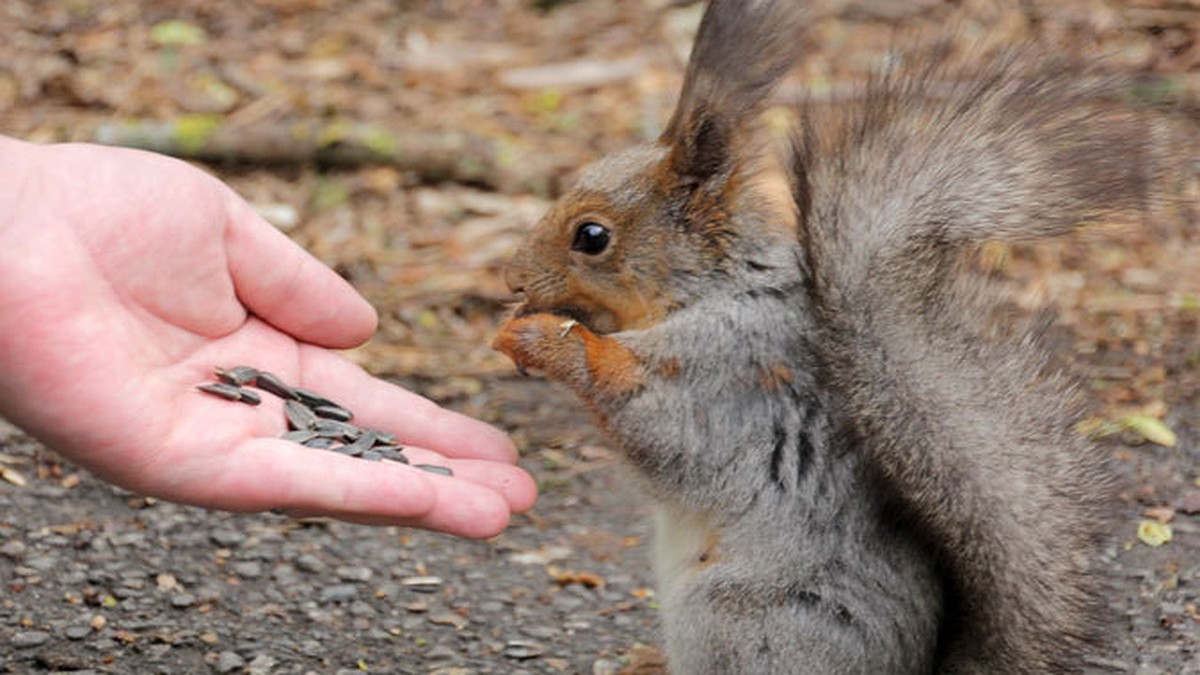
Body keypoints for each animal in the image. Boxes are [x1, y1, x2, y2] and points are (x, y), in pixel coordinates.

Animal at [489, 2, 1152, 667]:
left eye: (592, 236)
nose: (512, 277)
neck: (714, 287)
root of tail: (913, 667)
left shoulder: (730, 373)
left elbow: (663, 430)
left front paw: (551, 342)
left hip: (734, 615)